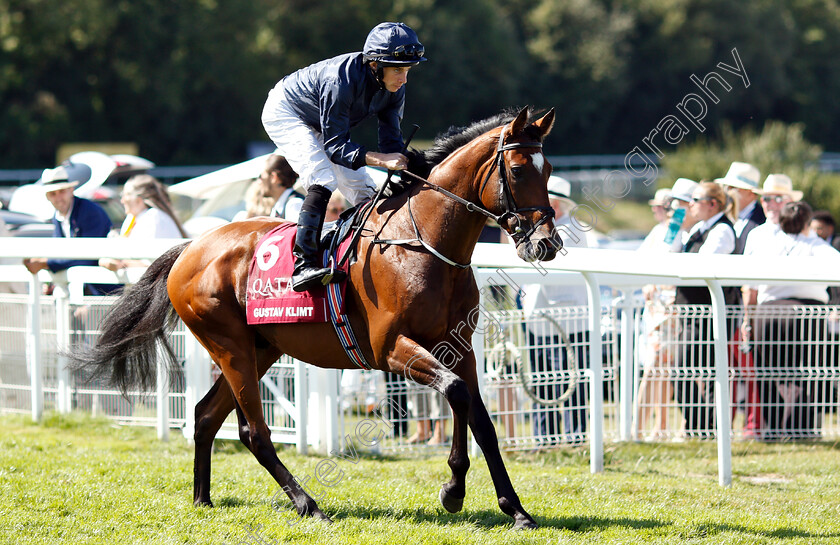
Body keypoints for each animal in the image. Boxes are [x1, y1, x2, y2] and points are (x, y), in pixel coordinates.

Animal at [75, 106, 560, 528]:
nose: (546, 243)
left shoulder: (459, 348)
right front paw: (456, 491)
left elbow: (480, 420)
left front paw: (513, 508)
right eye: (519, 170)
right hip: (229, 345)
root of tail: (189, 247)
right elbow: (457, 394)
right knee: (253, 432)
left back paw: (203, 498)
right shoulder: (391, 349)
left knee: (206, 415)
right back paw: (307, 503)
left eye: (550, 169)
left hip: (261, 348)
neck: (421, 243)